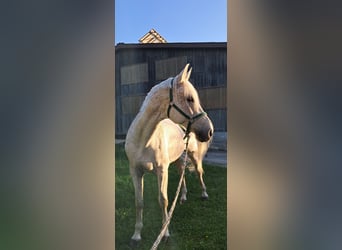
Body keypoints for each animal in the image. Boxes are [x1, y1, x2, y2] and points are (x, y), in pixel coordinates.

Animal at [124, 63, 212, 243]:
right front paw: (136, 235)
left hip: (193, 157)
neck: (144, 140)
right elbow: (139, 202)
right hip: (179, 159)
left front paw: (164, 233)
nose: (209, 131)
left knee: (199, 173)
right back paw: (183, 197)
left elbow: (163, 200)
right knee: (182, 175)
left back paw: (204, 194)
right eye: (190, 99)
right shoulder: (135, 171)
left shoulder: (162, 171)